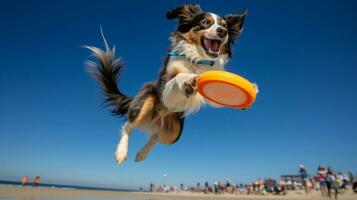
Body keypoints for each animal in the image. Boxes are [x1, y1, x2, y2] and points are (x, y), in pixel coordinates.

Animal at [86, 4, 248, 164]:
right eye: (204, 22)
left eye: (224, 26)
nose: (223, 31)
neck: (198, 59)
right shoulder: (165, 88)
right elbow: (178, 76)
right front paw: (188, 79)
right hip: (145, 103)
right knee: (128, 125)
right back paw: (121, 152)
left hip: (174, 133)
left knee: (156, 136)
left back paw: (142, 154)